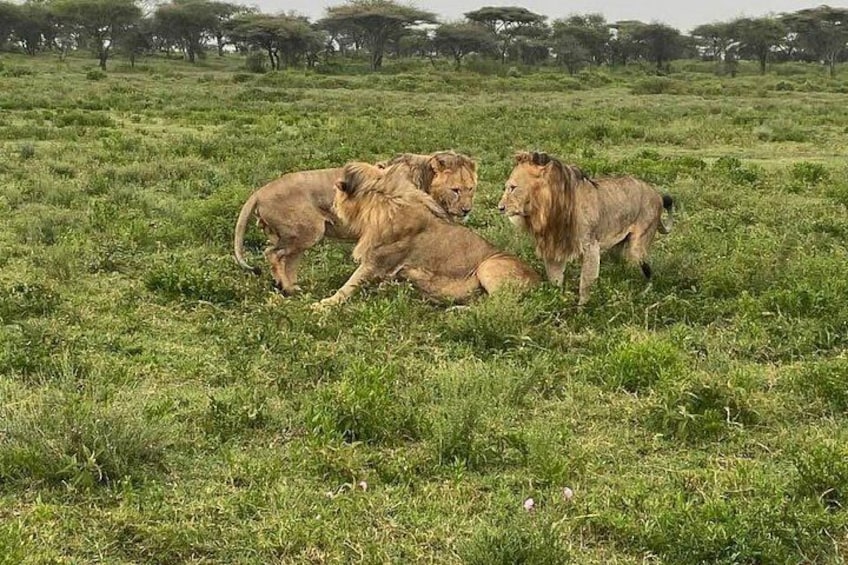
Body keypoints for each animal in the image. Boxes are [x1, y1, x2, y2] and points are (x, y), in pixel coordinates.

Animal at [233, 151, 478, 295]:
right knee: (272, 254)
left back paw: (293, 287)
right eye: (455, 190)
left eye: (471, 188)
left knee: (287, 259)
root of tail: (259, 191)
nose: (467, 210)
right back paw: (287, 288)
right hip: (308, 231)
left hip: (300, 236)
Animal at [313, 161, 540, 309]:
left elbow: (349, 285)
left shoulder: (377, 262)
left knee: (498, 306)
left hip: (488, 265)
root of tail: (539, 281)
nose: (331, 206)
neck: (381, 201)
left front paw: (324, 304)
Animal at [498, 151, 674, 306]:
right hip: (618, 248)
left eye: (512, 187)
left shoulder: (590, 246)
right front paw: (556, 301)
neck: (545, 210)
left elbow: (585, 282)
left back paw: (645, 295)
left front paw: (582, 309)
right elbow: (555, 278)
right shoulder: (553, 245)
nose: (499, 207)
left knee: (647, 271)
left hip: (638, 246)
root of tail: (657, 194)